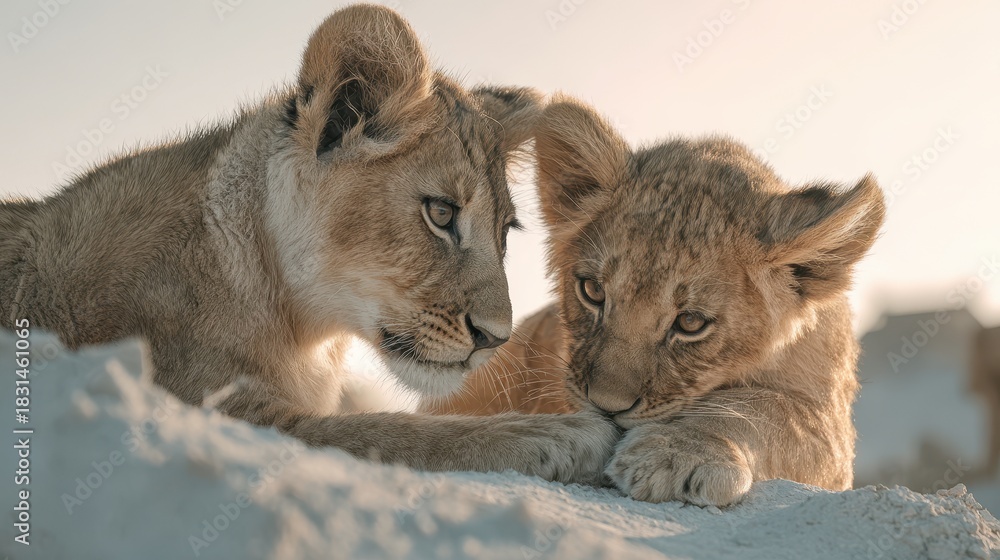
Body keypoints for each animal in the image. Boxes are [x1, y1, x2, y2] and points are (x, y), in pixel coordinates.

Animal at [0, 6, 617, 485]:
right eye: (441, 213)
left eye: (505, 232)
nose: (495, 339)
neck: (303, 327)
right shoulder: (203, 400)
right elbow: (388, 430)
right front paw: (559, 432)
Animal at [425, 95, 886, 506]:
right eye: (593, 292)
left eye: (691, 323)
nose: (605, 408)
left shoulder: (830, 427)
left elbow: (765, 409)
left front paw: (678, 453)